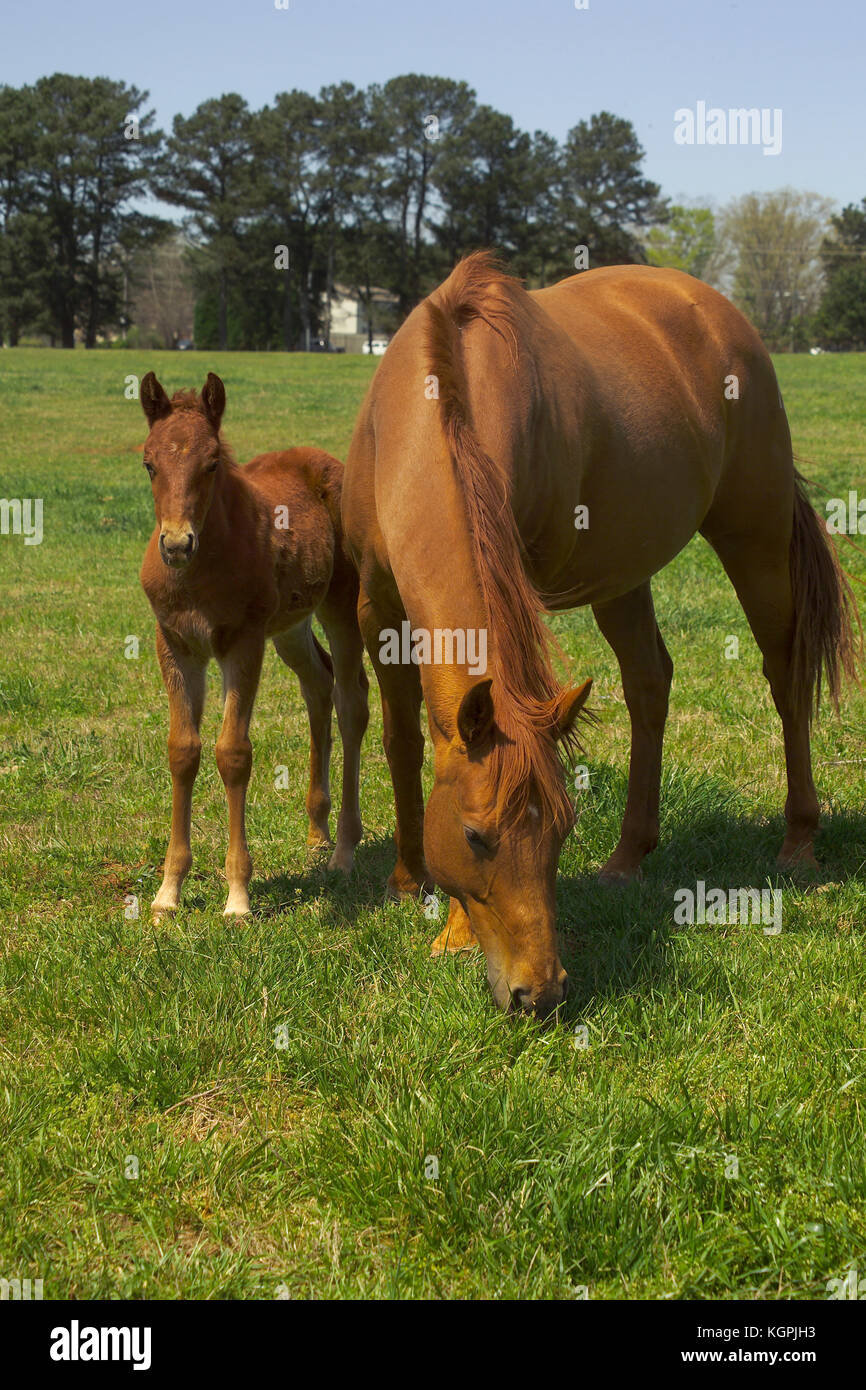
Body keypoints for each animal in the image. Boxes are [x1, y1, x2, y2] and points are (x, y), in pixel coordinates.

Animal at [139, 372, 369, 922]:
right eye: (149, 464)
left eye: (212, 463)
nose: (176, 545)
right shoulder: (175, 644)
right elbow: (183, 750)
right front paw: (168, 891)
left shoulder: (241, 644)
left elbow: (233, 753)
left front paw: (238, 896)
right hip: (289, 628)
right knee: (319, 684)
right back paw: (316, 831)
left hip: (341, 606)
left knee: (352, 702)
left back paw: (344, 849)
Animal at [340, 250, 861, 1017]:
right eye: (474, 836)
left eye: (560, 830)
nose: (541, 991)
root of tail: (716, 309)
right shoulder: (377, 608)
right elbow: (406, 743)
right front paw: (408, 881)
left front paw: (453, 933)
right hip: (625, 575)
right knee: (649, 683)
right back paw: (628, 856)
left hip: (755, 536)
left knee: (783, 674)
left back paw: (799, 840)